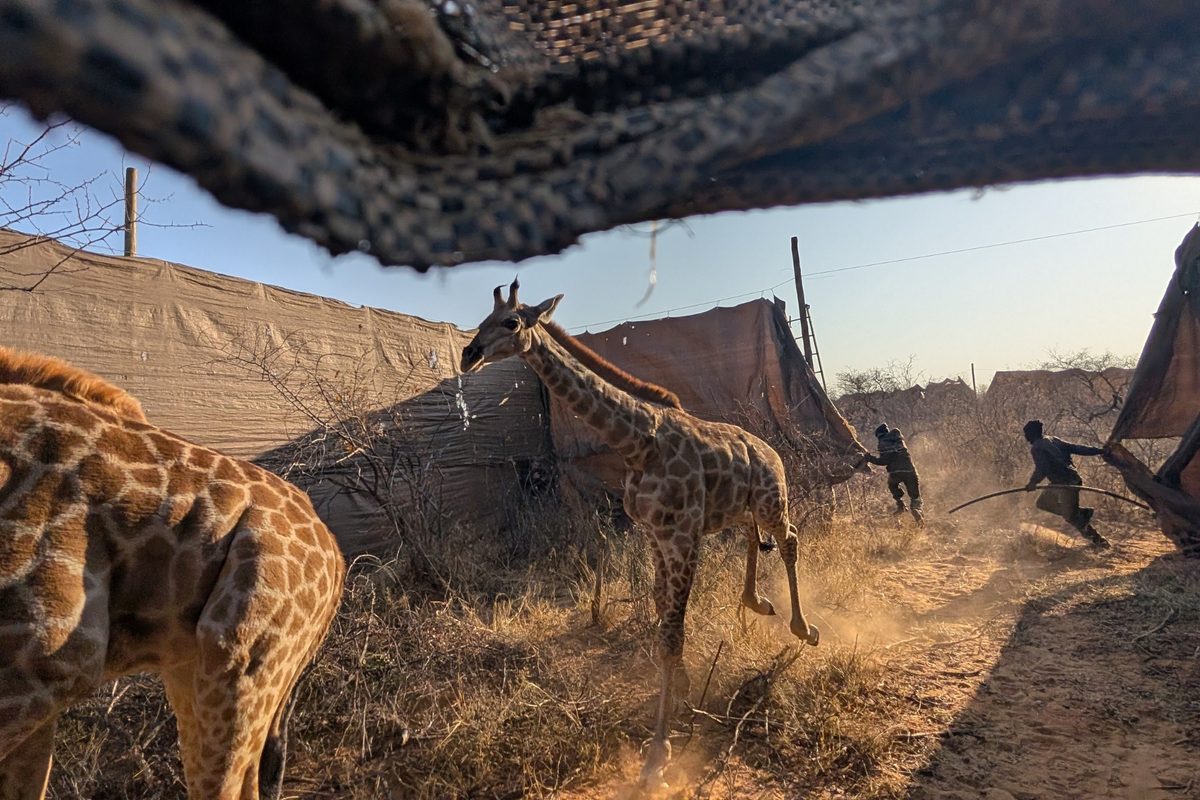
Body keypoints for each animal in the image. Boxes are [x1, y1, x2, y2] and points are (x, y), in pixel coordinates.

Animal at [461, 281, 832, 786]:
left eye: (511, 322)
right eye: (480, 320)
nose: (468, 355)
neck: (637, 442)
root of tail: (771, 450)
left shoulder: (682, 536)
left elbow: (671, 634)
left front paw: (659, 751)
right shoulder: (657, 535)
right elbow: (662, 615)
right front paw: (684, 691)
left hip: (772, 499)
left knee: (789, 538)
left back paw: (804, 628)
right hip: (733, 509)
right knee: (751, 536)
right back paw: (756, 602)